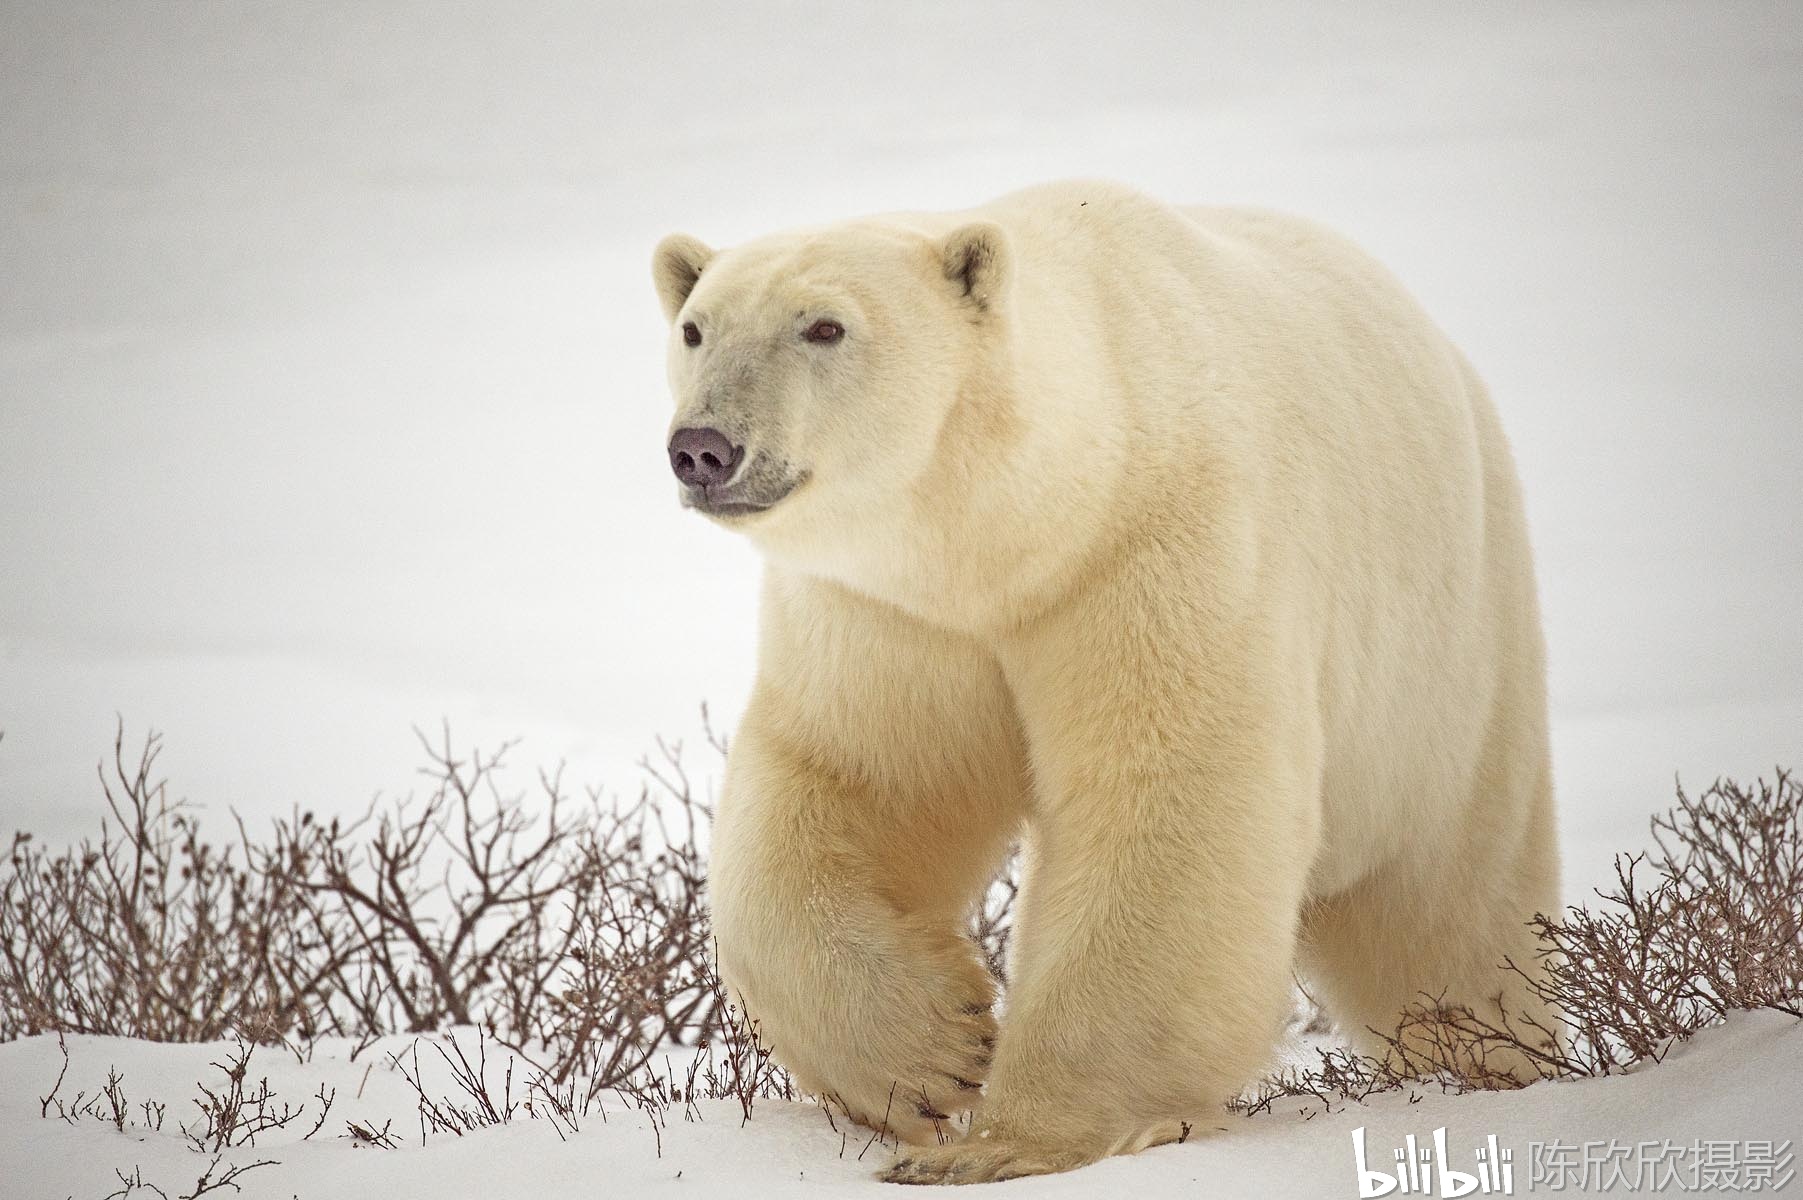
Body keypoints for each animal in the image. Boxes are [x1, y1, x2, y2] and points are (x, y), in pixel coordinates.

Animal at [652, 181, 1565, 1181]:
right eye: (695, 328)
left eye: (824, 326)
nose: (704, 447)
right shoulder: (896, 612)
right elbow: (859, 779)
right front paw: (931, 1052)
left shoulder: (1159, 545)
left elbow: (1172, 799)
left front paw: (1004, 1144)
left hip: (1447, 665)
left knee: (1448, 908)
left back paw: (1500, 1058)